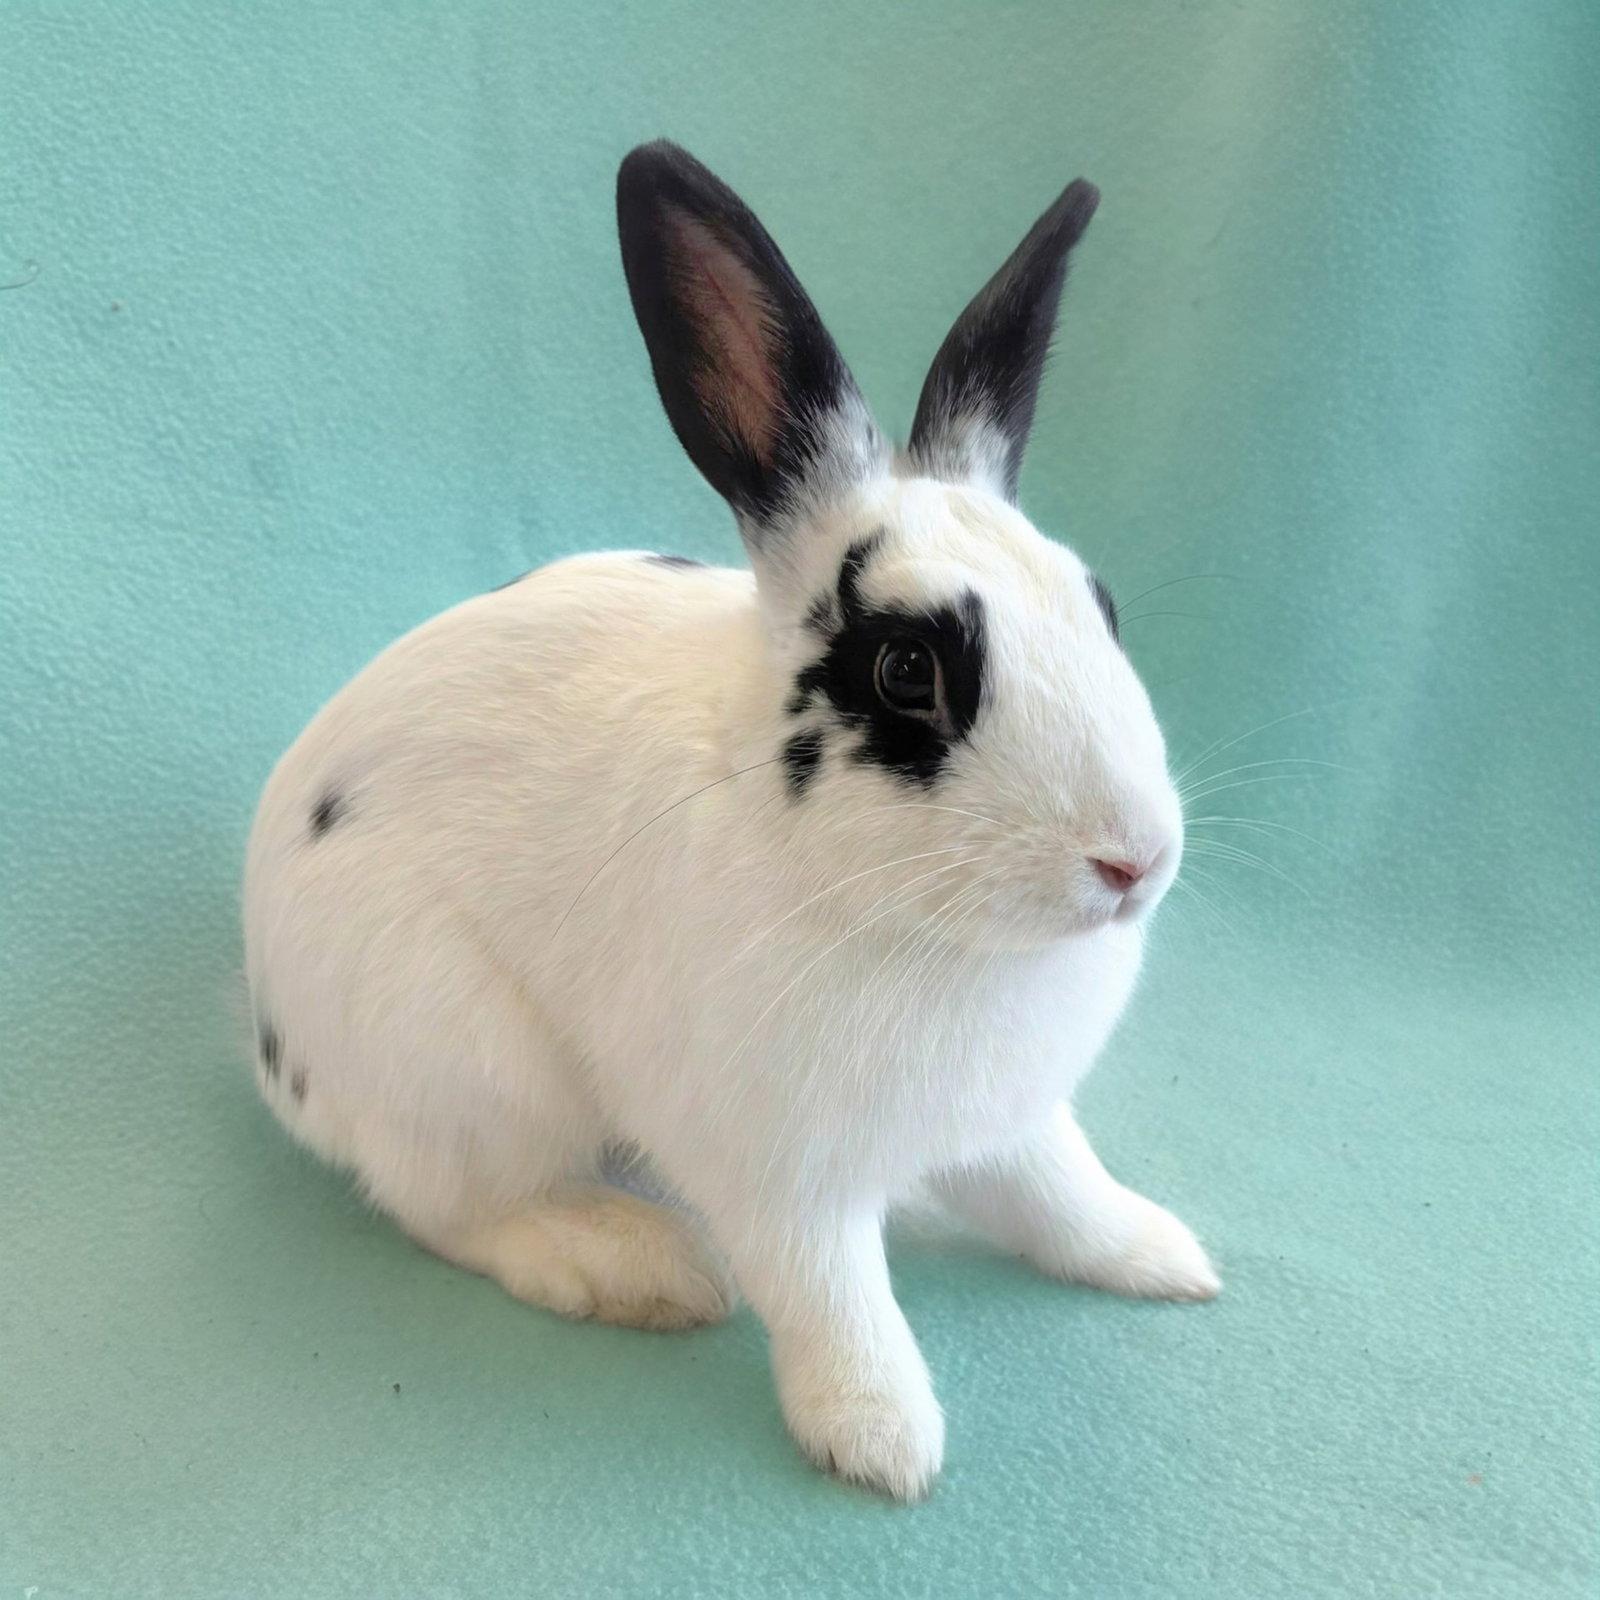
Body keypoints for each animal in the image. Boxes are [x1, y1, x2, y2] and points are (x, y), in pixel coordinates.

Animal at [243, 140, 1218, 1501]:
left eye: (1102, 604)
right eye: (905, 671)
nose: (1135, 861)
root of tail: (267, 1024)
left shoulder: (1013, 1124)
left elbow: (1059, 1196)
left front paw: (1158, 1254)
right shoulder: (778, 1174)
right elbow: (833, 1299)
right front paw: (883, 1440)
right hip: (463, 1059)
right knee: (451, 1205)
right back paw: (634, 1263)